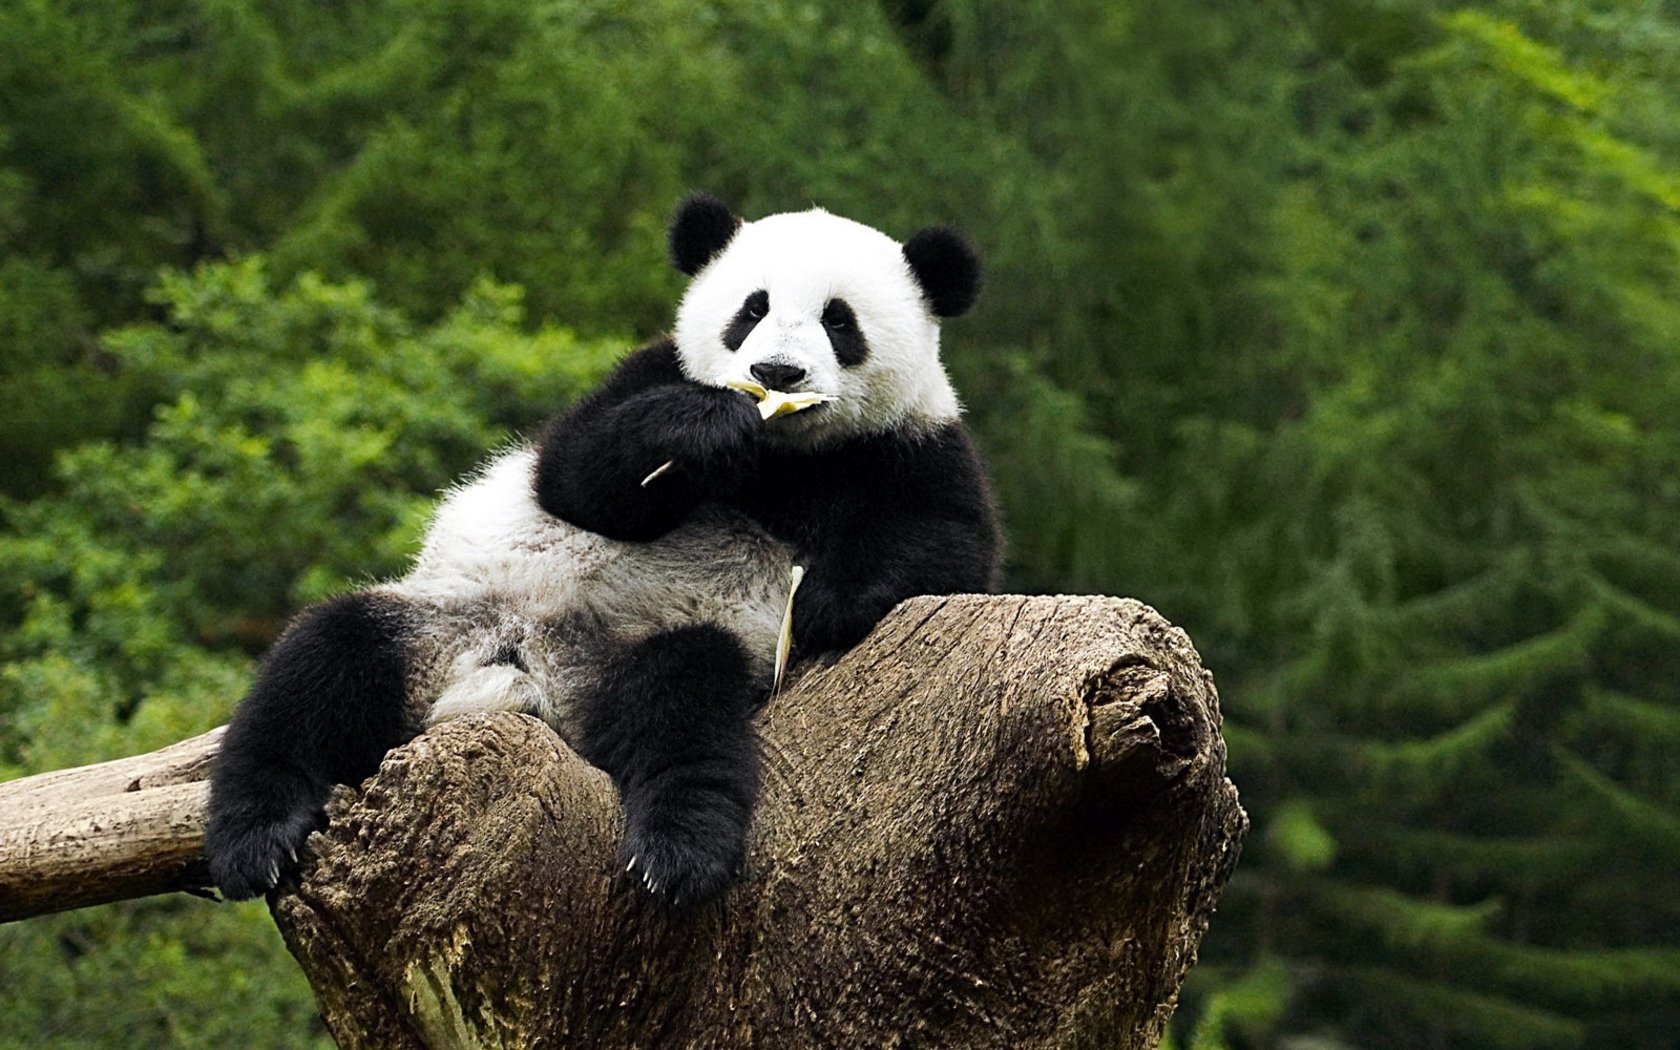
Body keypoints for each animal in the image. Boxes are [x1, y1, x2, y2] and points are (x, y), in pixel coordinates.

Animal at [205, 194, 1001, 906]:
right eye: (751, 310)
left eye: (839, 321)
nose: (776, 374)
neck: (783, 454)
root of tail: (526, 673)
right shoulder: (647, 374)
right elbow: (575, 475)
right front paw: (702, 429)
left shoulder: (912, 444)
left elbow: (949, 544)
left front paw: (823, 603)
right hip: (441, 620)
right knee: (319, 665)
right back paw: (256, 838)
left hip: (649, 647)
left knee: (682, 708)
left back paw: (677, 853)